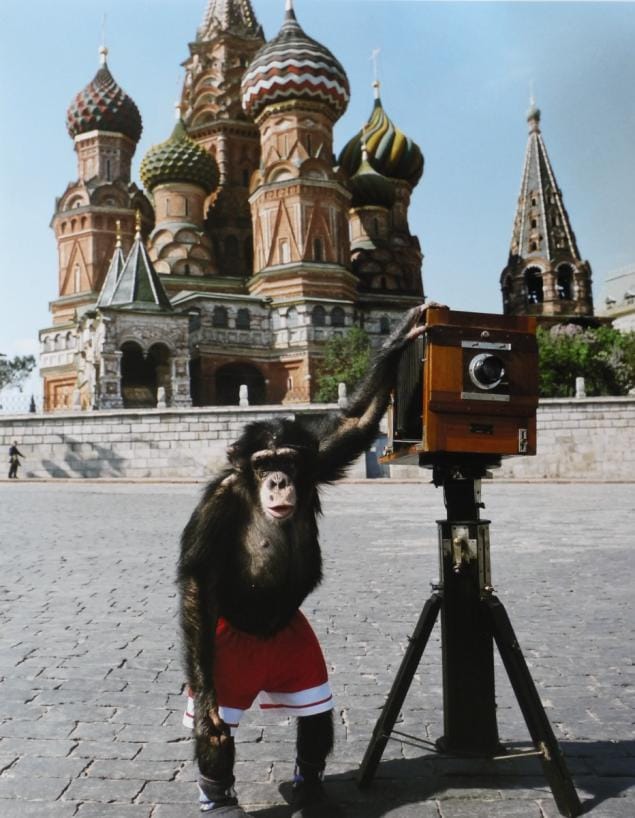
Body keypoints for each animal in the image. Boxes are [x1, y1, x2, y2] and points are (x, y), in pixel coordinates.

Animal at [178, 305, 430, 816]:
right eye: (261, 463)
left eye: (287, 461)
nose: (277, 480)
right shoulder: (216, 503)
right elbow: (196, 579)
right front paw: (209, 716)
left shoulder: (318, 461)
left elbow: (355, 423)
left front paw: (397, 339)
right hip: (224, 650)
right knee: (218, 727)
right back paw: (219, 794)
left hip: (294, 651)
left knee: (315, 716)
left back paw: (310, 789)